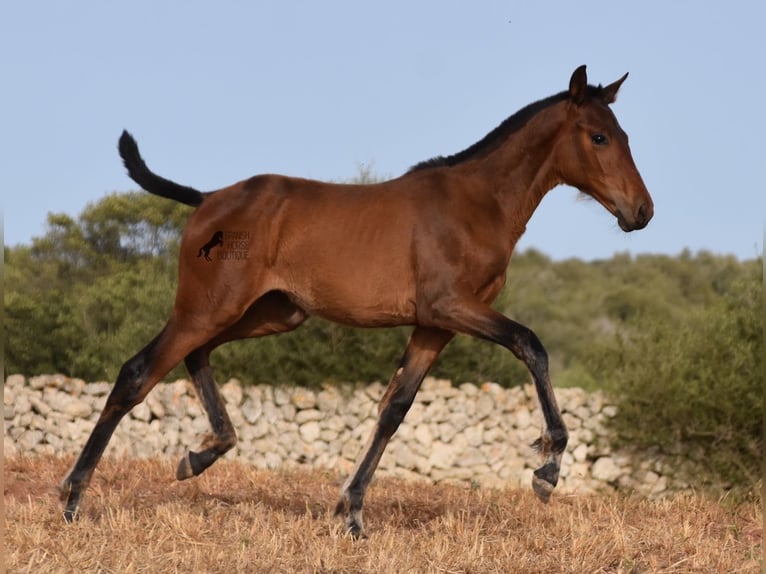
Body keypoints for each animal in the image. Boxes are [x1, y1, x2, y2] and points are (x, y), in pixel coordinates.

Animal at [63, 65, 656, 536]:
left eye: (625, 134)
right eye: (598, 137)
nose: (642, 211)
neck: (476, 202)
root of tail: (208, 200)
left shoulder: (434, 325)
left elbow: (393, 409)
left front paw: (350, 513)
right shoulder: (450, 307)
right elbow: (530, 344)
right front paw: (547, 468)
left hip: (271, 313)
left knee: (195, 356)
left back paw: (200, 455)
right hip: (208, 308)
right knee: (139, 371)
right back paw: (72, 498)